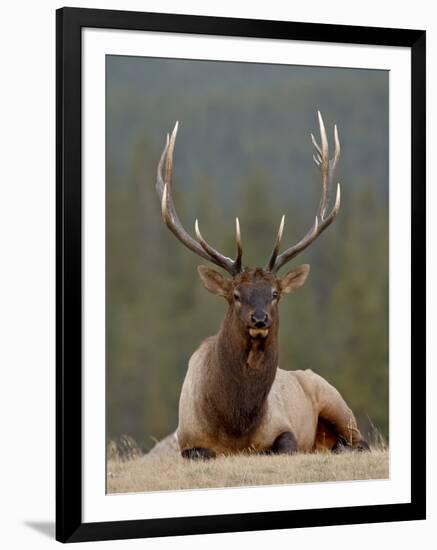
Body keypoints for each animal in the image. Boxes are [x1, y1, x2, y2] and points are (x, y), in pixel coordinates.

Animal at [155, 110, 366, 460]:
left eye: (275, 293)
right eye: (236, 294)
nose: (259, 319)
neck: (235, 424)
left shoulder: (284, 428)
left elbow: (283, 447)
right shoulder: (187, 440)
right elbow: (202, 452)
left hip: (337, 402)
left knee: (360, 441)